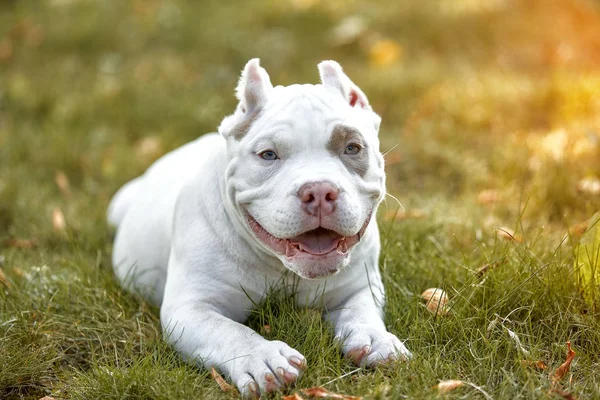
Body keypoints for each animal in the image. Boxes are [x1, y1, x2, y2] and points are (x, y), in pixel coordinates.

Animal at [108, 58, 410, 396]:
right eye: (268, 155)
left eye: (353, 148)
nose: (319, 191)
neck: (283, 269)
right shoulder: (191, 309)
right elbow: (229, 330)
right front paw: (263, 358)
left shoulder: (359, 287)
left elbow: (362, 313)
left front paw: (375, 339)